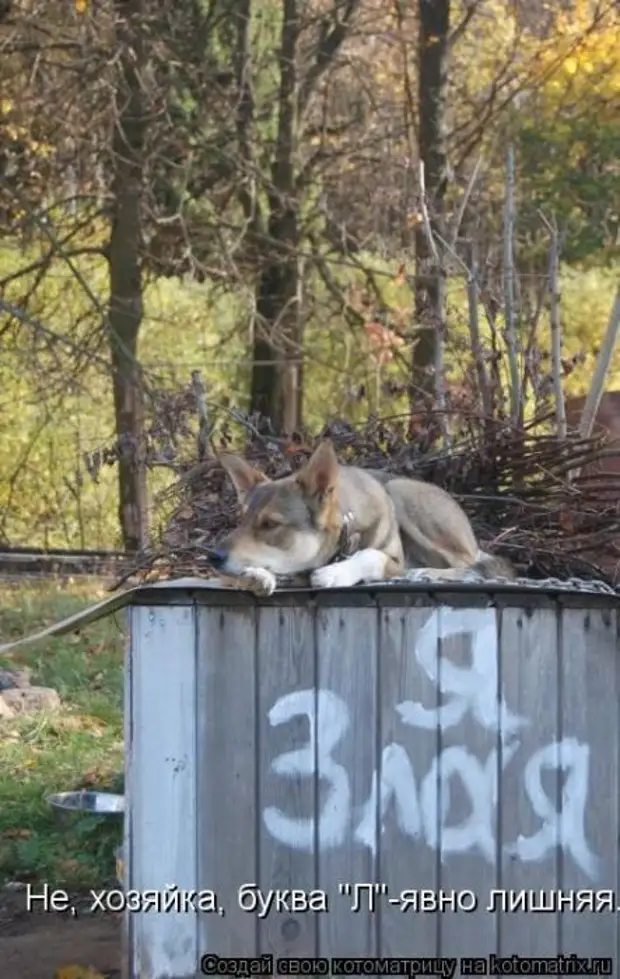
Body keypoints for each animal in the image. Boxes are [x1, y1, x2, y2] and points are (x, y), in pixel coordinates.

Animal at [208, 438, 512, 592]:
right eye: (241, 521)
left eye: (271, 524)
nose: (212, 556)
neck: (348, 525)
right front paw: (256, 574)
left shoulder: (393, 560)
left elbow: (370, 555)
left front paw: (336, 572)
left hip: (401, 491)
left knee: (471, 565)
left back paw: (425, 573)